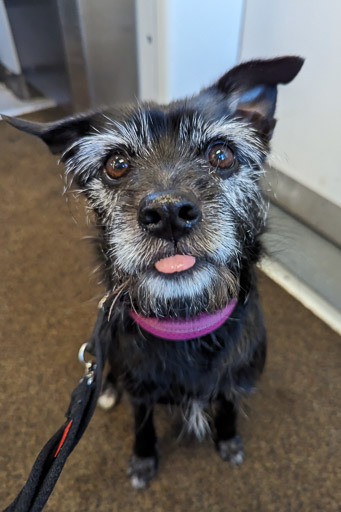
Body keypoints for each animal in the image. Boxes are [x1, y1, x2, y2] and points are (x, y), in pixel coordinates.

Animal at [3, 56, 302, 488]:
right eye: (116, 165)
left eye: (222, 155)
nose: (169, 214)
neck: (186, 322)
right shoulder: (141, 394)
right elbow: (142, 424)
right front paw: (143, 459)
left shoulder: (233, 383)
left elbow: (227, 406)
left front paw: (228, 438)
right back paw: (106, 390)